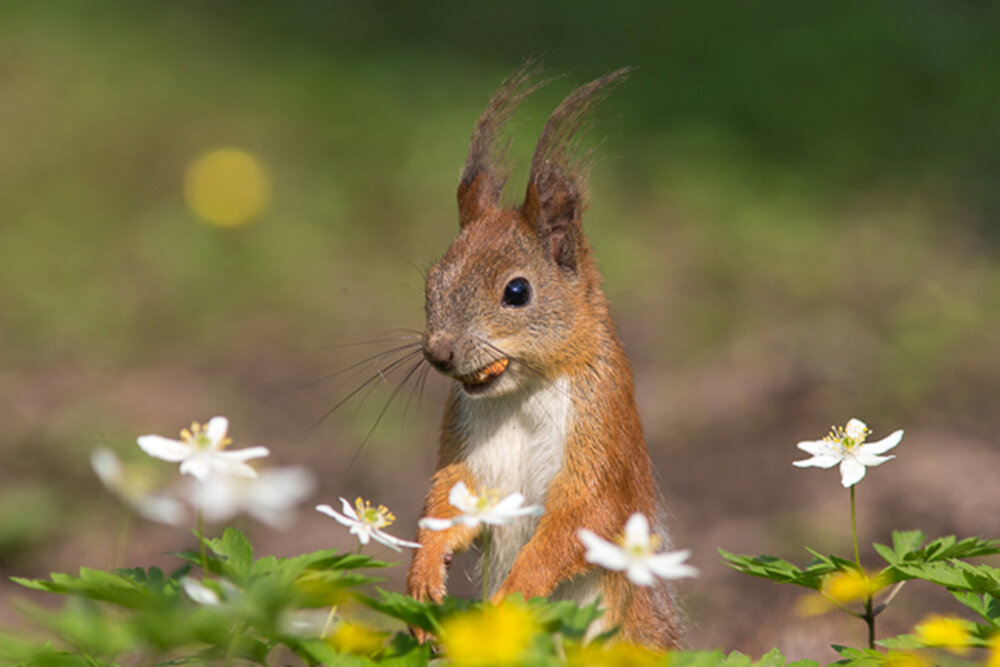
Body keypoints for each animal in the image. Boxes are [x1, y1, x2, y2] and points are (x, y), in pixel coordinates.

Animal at [404, 66, 680, 648]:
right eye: (432, 280)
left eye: (517, 292)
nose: (439, 352)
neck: (522, 394)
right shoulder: (466, 446)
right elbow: (448, 498)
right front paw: (424, 572)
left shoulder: (600, 429)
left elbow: (585, 515)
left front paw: (513, 593)